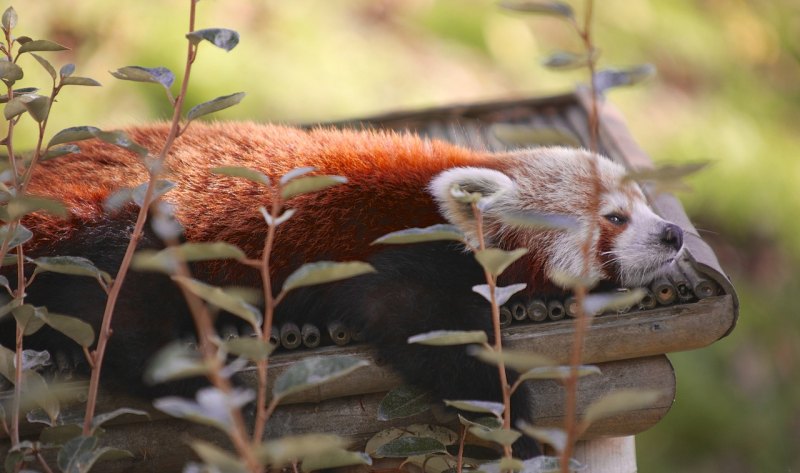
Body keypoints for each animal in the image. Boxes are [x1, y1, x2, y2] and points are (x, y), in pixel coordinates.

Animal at [3, 121, 684, 458]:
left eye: (646, 205)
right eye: (615, 218)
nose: (674, 234)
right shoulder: (403, 256)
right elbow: (425, 330)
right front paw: (508, 421)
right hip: (113, 232)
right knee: (123, 321)